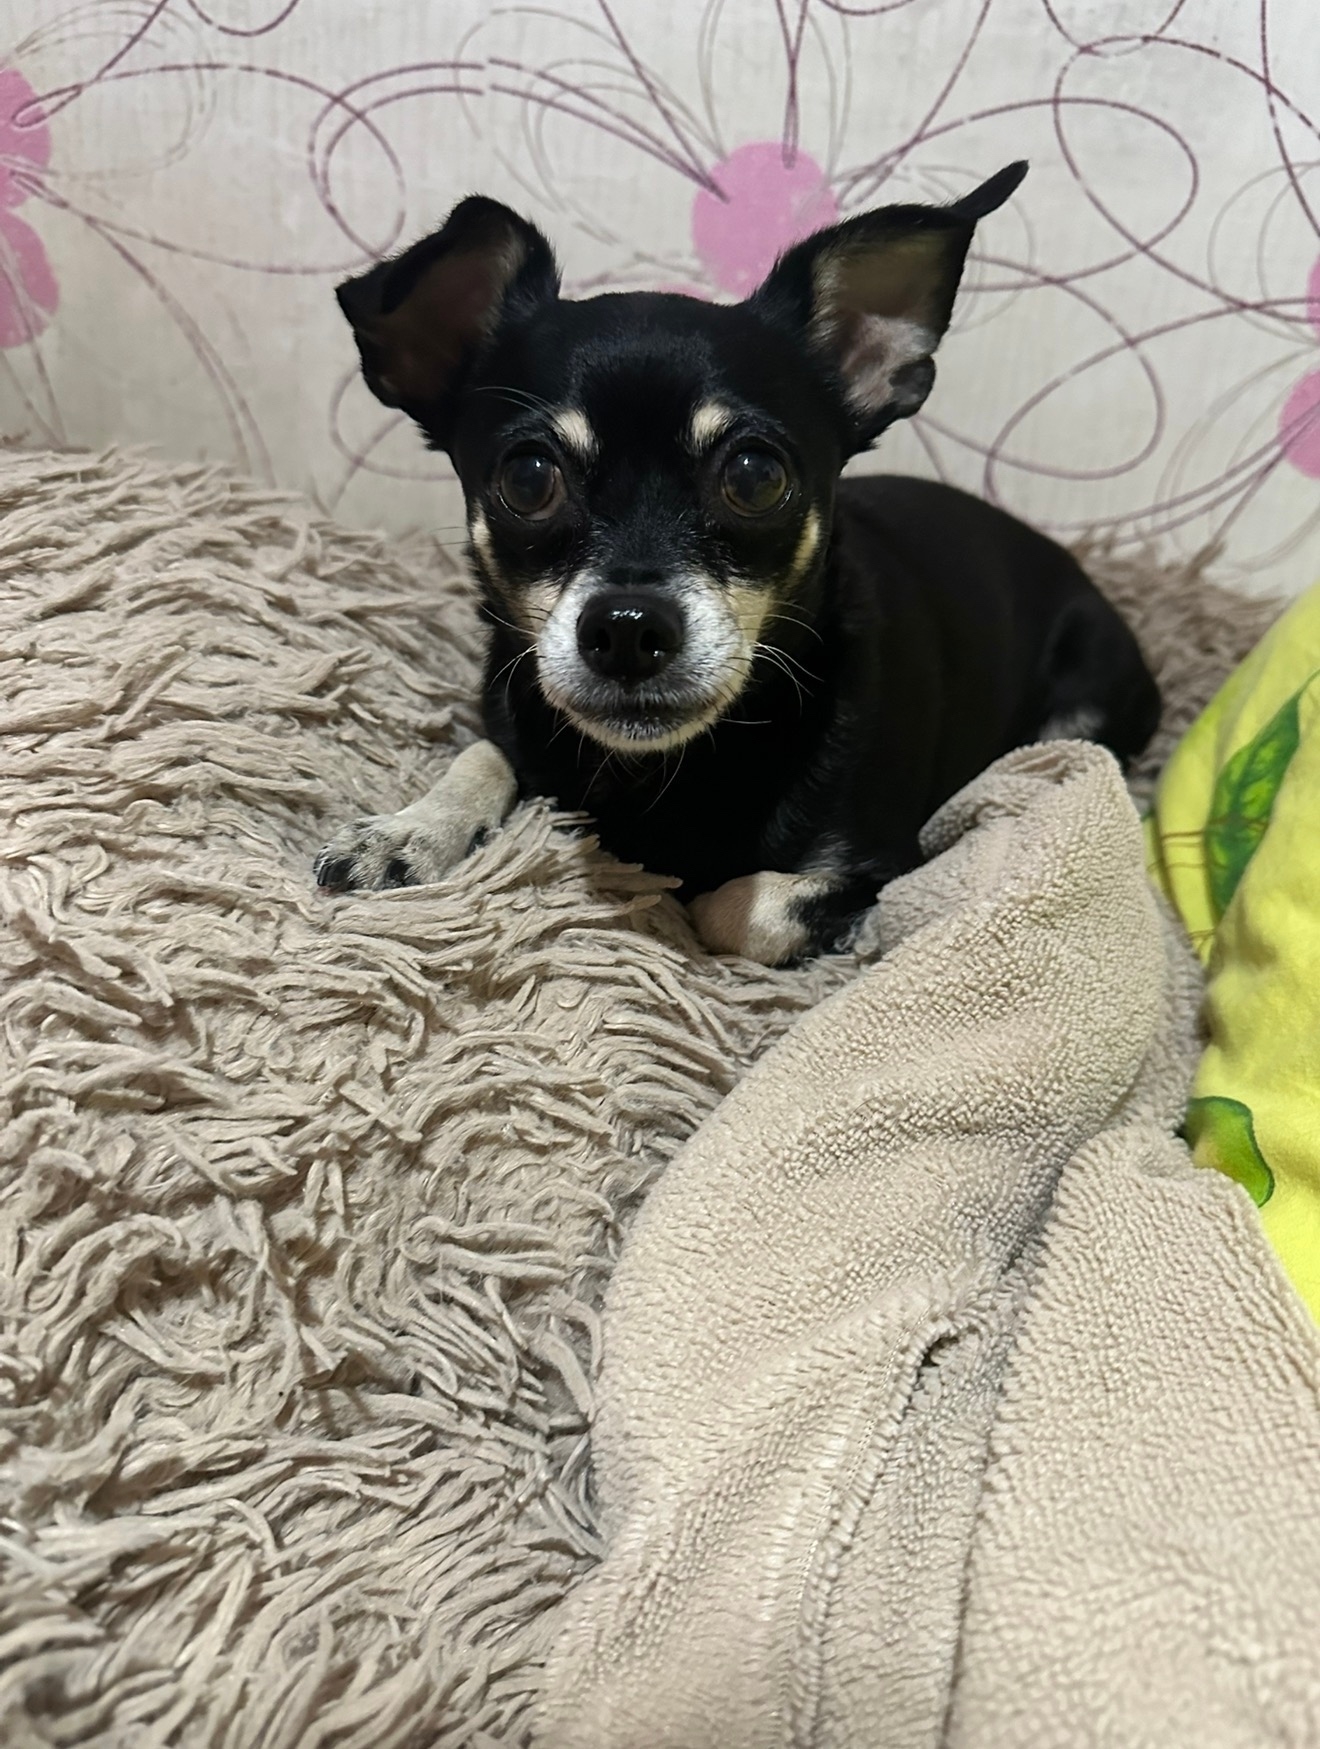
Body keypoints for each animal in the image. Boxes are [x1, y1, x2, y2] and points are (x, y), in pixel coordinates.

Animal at [314, 161, 1160, 965]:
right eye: (527, 480)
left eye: (756, 477)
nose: (627, 628)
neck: (662, 769)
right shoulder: (516, 712)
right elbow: (486, 751)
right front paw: (409, 830)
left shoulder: (887, 863)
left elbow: (725, 907)